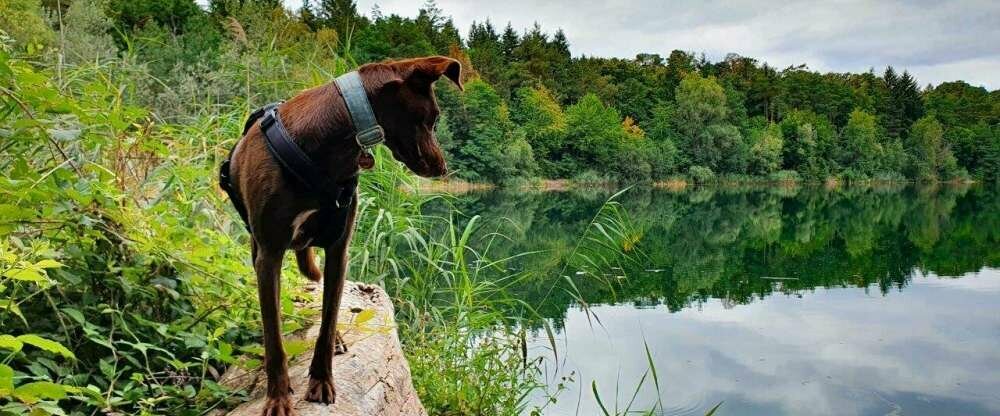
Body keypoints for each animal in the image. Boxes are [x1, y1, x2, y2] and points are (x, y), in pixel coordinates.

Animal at [226, 56, 460, 416]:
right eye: (433, 118)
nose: (442, 168)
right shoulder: (269, 255)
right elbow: (275, 339)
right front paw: (278, 397)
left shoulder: (339, 250)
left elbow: (327, 320)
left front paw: (322, 381)